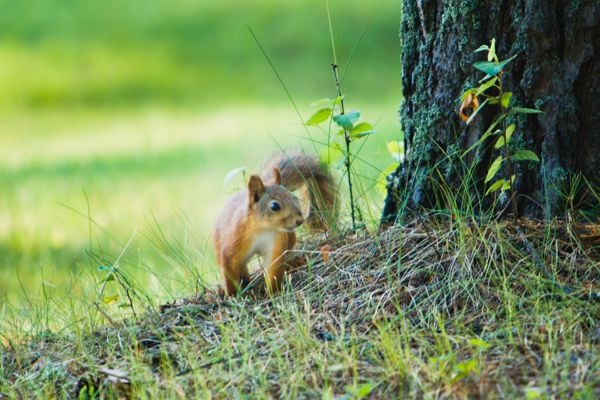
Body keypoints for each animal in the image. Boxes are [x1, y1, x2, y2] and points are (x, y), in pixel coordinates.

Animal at [213, 152, 338, 296]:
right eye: (274, 206)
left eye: (294, 198)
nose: (299, 220)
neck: (262, 228)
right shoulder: (233, 244)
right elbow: (229, 270)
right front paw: (233, 294)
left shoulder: (276, 242)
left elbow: (273, 267)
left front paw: (272, 292)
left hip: (289, 238)